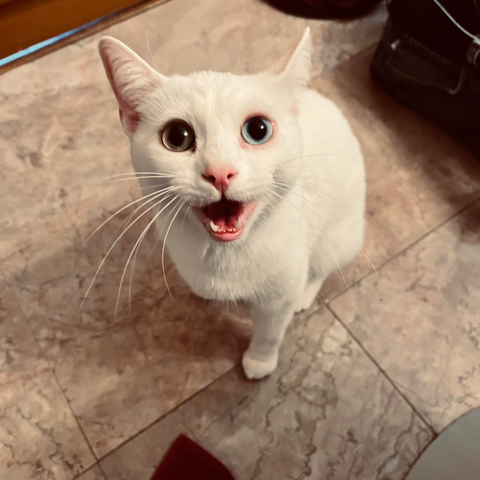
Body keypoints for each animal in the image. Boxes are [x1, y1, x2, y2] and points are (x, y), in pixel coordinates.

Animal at [99, 29, 366, 378]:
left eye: (258, 129)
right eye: (177, 136)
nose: (219, 172)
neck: (225, 255)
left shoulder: (277, 298)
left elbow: (270, 331)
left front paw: (260, 361)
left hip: (338, 238)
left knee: (323, 266)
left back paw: (306, 293)